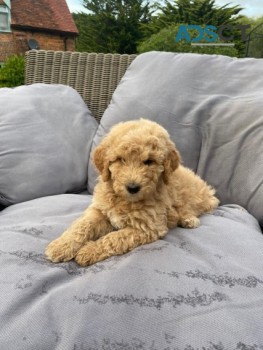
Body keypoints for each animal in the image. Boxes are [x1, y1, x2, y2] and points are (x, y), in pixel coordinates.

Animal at [46, 119, 220, 266]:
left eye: (149, 161)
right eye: (121, 159)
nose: (133, 188)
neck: (125, 200)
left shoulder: (148, 227)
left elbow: (115, 238)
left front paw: (89, 251)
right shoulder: (99, 210)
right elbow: (82, 225)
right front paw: (61, 246)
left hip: (197, 198)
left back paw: (189, 219)